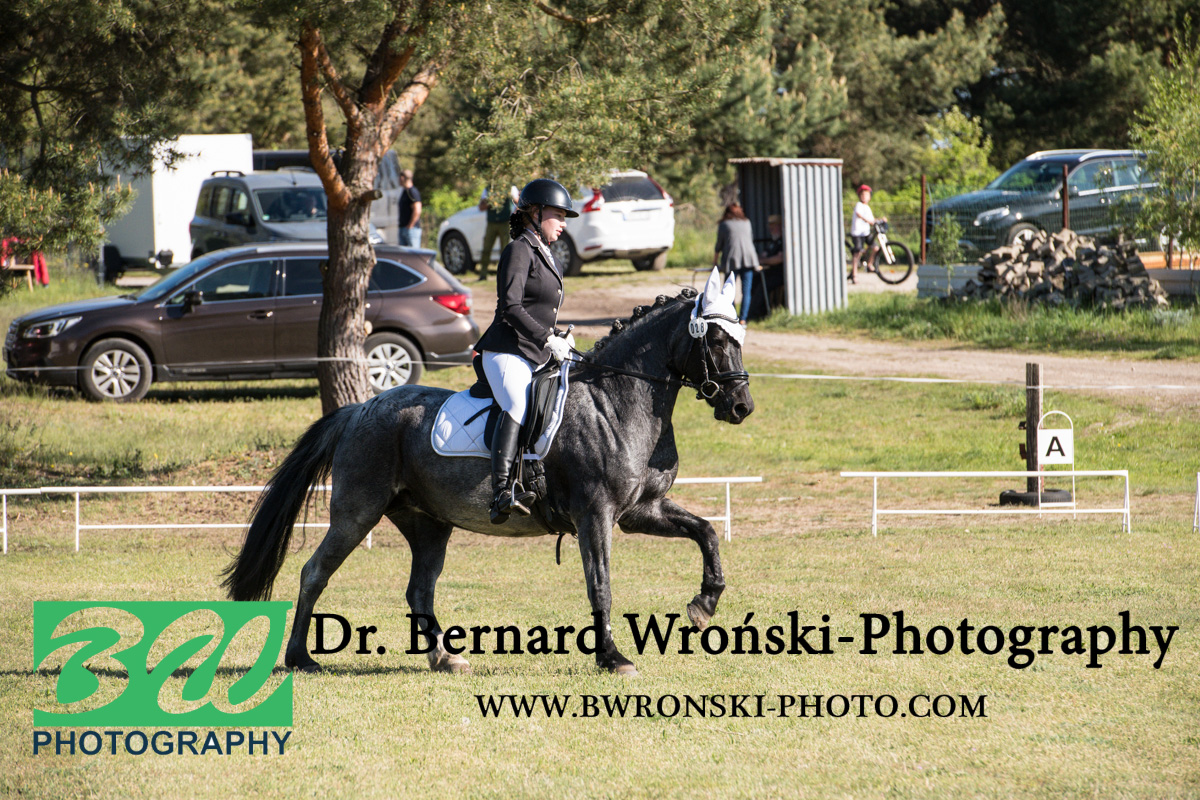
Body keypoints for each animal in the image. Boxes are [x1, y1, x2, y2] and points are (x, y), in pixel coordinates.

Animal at [221, 270, 755, 676]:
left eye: (739, 338)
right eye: (716, 339)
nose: (741, 407)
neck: (617, 399)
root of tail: (360, 408)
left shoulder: (641, 510)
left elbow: (706, 532)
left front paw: (704, 604)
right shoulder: (596, 514)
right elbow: (600, 582)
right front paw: (613, 658)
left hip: (427, 523)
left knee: (419, 589)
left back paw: (445, 657)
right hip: (357, 512)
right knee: (315, 571)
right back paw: (300, 658)